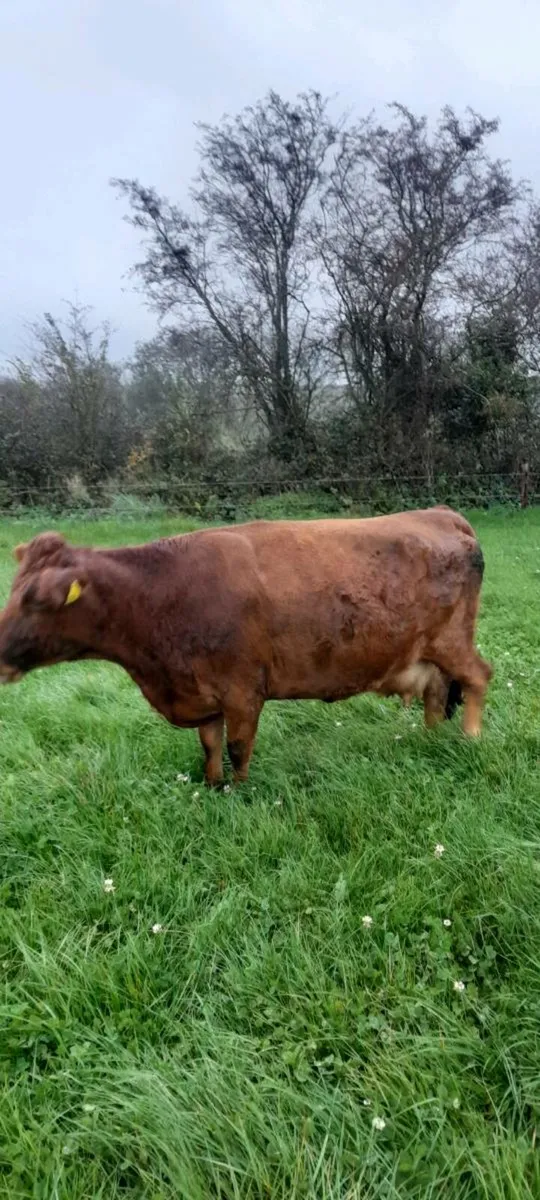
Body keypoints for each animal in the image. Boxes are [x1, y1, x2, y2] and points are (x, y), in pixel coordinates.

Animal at [0, 506, 492, 785]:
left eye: (36, 599)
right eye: (15, 588)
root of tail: (441, 513)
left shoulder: (242, 690)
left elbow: (238, 747)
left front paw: (238, 792)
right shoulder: (203, 693)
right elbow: (209, 746)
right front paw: (212, 786)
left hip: (452, 641)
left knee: (478, 678)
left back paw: (470, 739)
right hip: (427, 653)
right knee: (435, 696)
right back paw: (429, 741)